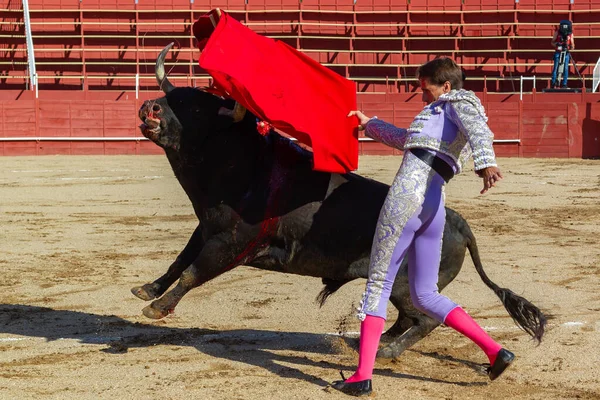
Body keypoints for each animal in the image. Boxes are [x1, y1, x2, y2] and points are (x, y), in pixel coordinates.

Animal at [134, 43, 548, 360]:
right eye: (172, 97)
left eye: (197, 109)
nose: (150, 107)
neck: (242, 163)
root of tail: (459, 223)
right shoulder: (207, 228)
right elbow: (179, 261)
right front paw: (148, 290)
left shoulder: (229, 243)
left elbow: (194, 272)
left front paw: (157, 308)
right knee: (409, 318)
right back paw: (373, 343)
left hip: (406, 283)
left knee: (426, 319)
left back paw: (387, 351)